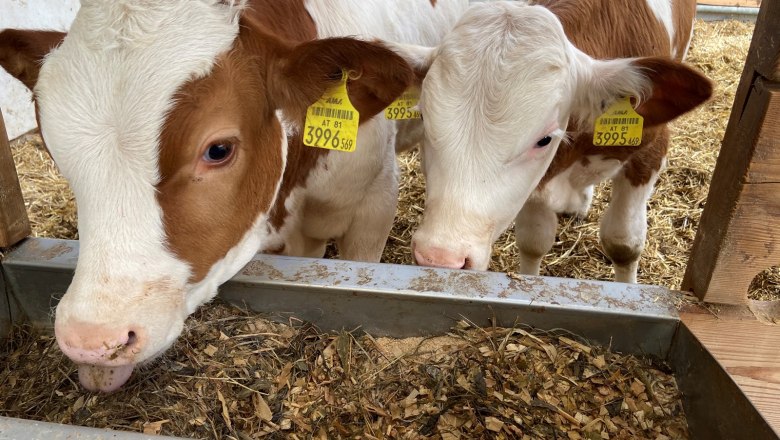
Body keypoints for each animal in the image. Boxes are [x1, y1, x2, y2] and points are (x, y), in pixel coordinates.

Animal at [390, 0, 712, 282]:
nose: (440, 257)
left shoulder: (651, 151)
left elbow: (623, 245)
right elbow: (533, 242)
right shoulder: (536, 184)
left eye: (544, 140)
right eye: (424, 119)